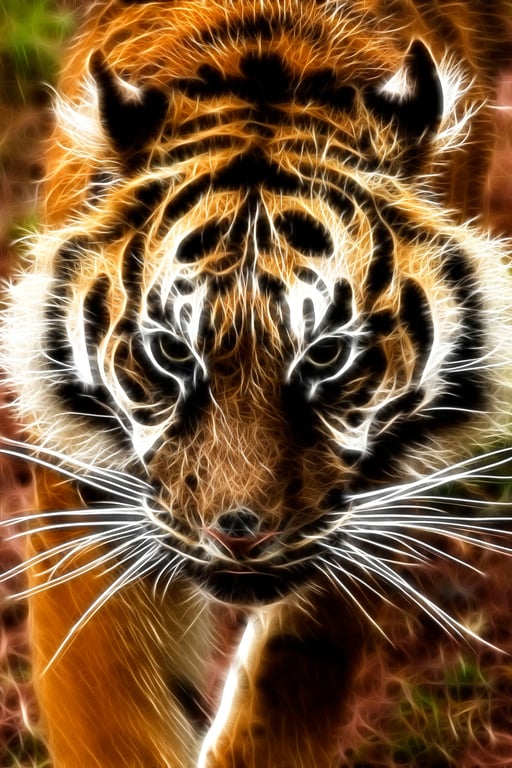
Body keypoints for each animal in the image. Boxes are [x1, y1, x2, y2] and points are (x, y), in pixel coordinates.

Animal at [1, 1, 512, 766]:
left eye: (327, 354)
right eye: (171, 351)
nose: (239, 532)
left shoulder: (367, 499)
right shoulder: (89, 488)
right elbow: (107, 707)